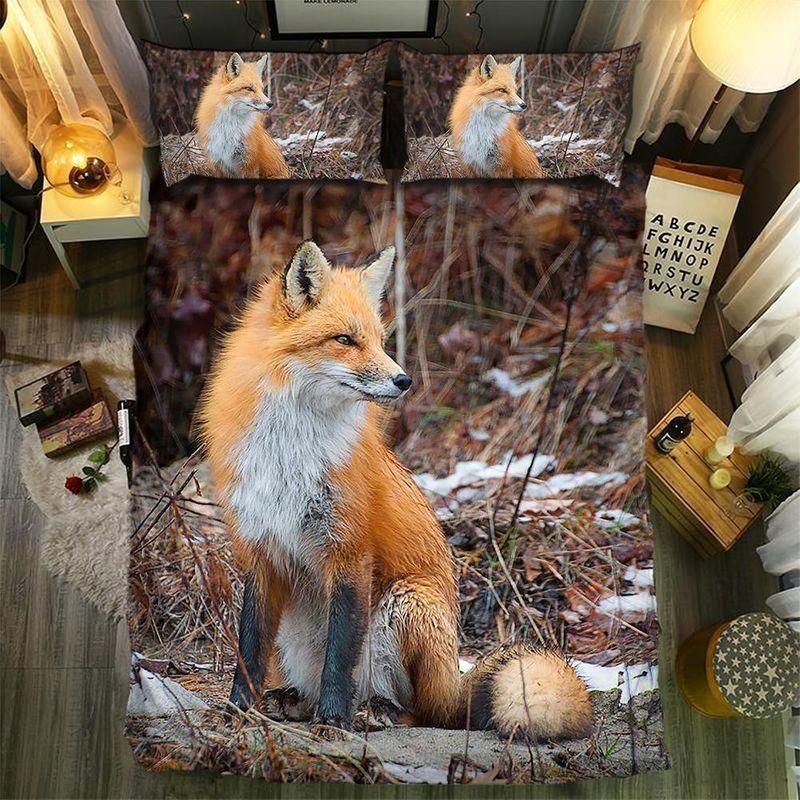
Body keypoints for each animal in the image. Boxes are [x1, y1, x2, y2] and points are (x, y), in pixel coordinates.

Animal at [198, 240, 591, 740]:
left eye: (380, 341)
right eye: (346, 340)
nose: (404, 380)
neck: (290, 451)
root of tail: (453, 681)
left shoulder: (349, 550)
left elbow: (340, 653)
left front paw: (333, 720)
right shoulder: (261, 549)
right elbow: (248, 646)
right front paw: (238, 711)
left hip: (408, 604)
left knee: (424, 712)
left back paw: (374, 710)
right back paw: (295, 699)